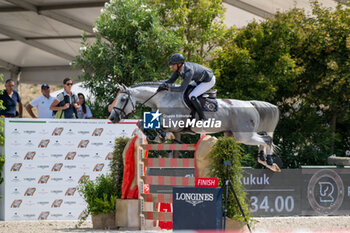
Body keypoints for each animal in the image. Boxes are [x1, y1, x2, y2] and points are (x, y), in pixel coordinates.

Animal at [108, 82, 280, 169]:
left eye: (122, 99)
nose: (112, 117)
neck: (163, 99)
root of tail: (251, 104)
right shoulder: (172, 126)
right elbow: (146, 124)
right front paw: (158, 136)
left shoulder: (175, 121)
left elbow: (149, 123)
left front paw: (159, 135)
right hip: (234, 135)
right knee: (264, 138)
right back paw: (264, 160)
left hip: (244, 135)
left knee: (266, 139)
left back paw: (269, 160)